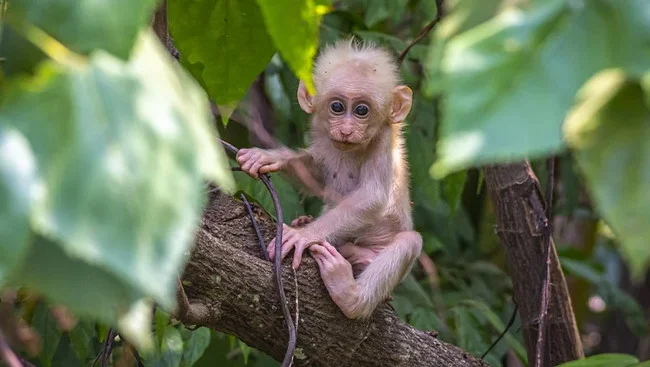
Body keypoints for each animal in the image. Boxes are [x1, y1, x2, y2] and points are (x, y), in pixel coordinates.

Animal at [237, 40, 420, 320]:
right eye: (337, 107)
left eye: (362, 110)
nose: (346, 130)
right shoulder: (323, 134)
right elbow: (317, 175)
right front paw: (269, 157)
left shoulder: (383, 140)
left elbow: (373, 196)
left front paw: (303, 235)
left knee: (410, 241)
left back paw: (350, 295)